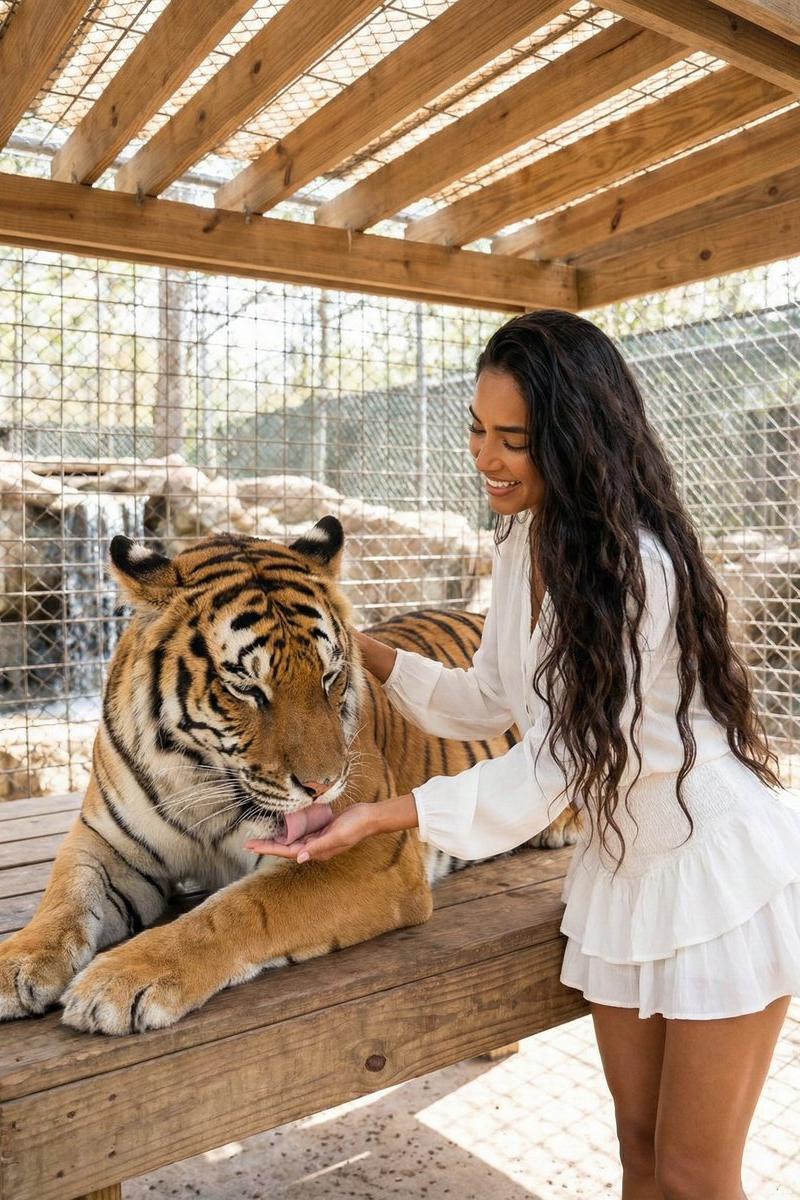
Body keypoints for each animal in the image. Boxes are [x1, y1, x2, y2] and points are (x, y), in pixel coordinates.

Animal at [0, 516, 579, 1035]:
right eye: (246, 689)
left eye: (329, 676)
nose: (324, 785)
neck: (200, 779)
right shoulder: (108, 842)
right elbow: (65, 897)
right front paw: (14, 965)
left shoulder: (369, 854)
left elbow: (240, 908)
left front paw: (120, 980)